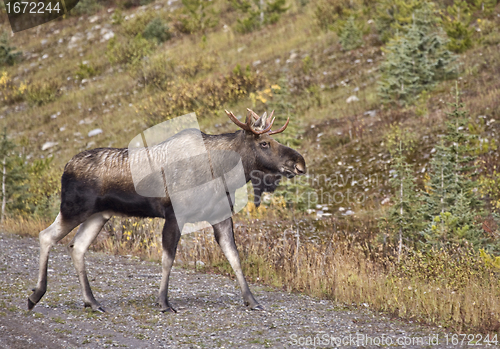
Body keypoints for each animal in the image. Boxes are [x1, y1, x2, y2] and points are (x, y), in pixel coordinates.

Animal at [29, 107, 306, 312]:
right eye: (264, 143)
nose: (300, 163)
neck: (222, 172)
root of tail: (66, 167)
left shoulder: (220, 217)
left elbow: (235, 258)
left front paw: (252, 300)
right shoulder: (174, 216)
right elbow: (167, 259)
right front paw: (163, 302)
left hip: (99, 215)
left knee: (77, 247)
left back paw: (92, 302)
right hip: (74, 208)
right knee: (46, 236)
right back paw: (36, 295)